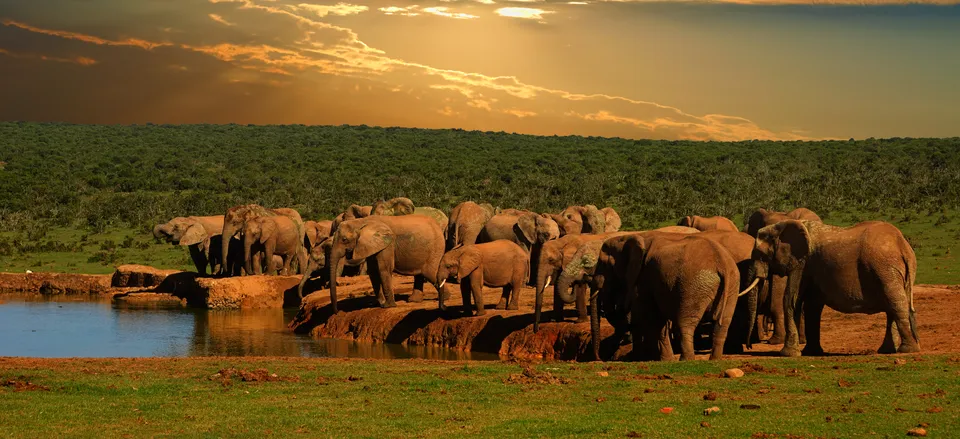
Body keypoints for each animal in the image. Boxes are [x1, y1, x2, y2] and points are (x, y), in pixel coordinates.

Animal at [752, 220, 920, 358]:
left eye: (761, 255)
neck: (781, 225)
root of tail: (903, 247)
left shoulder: (801, 263)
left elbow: (791, 300)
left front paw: (788, 354)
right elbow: (812, 305)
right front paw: (811, 353)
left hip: (885, 268)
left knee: (896, 303)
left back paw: (907, 350)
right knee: (894, 304)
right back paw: (888, 351)